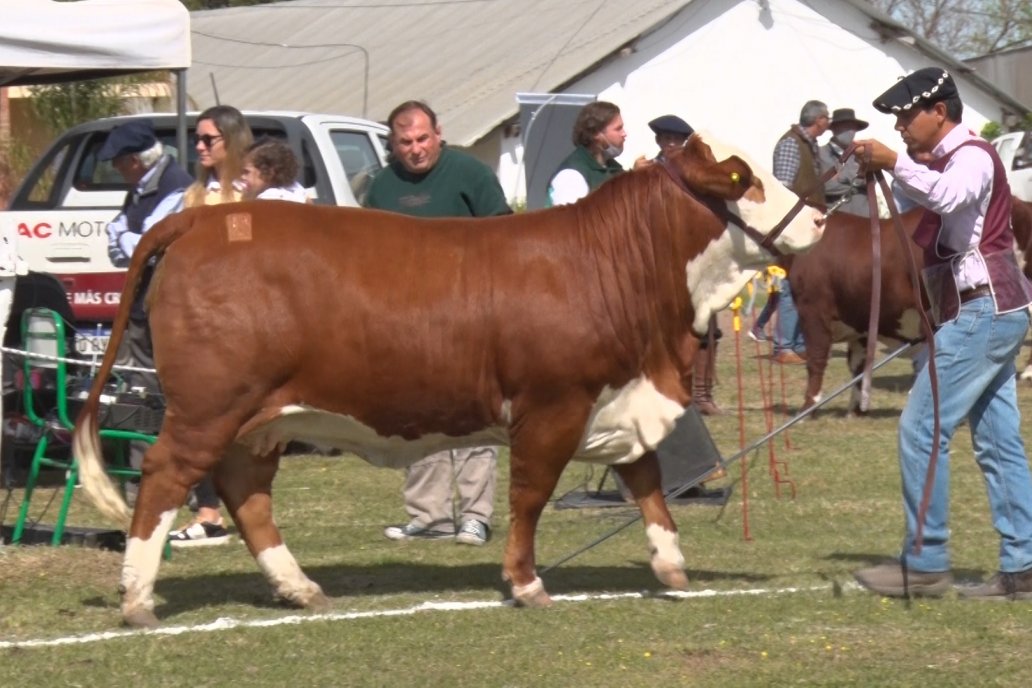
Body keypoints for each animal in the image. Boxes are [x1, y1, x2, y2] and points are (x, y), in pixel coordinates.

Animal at [72, 132, 821, 627]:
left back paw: (299, 588)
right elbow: (530, 496)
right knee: (164, 478)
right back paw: (137, 600)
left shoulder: (620, 402)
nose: (818, 216)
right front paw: (525, 583)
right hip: (208, 406)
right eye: (745, 178)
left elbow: (649, 486)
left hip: (260, 417)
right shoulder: (551, 406)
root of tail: (206, 216)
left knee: (245, 492)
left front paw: (670, 566)